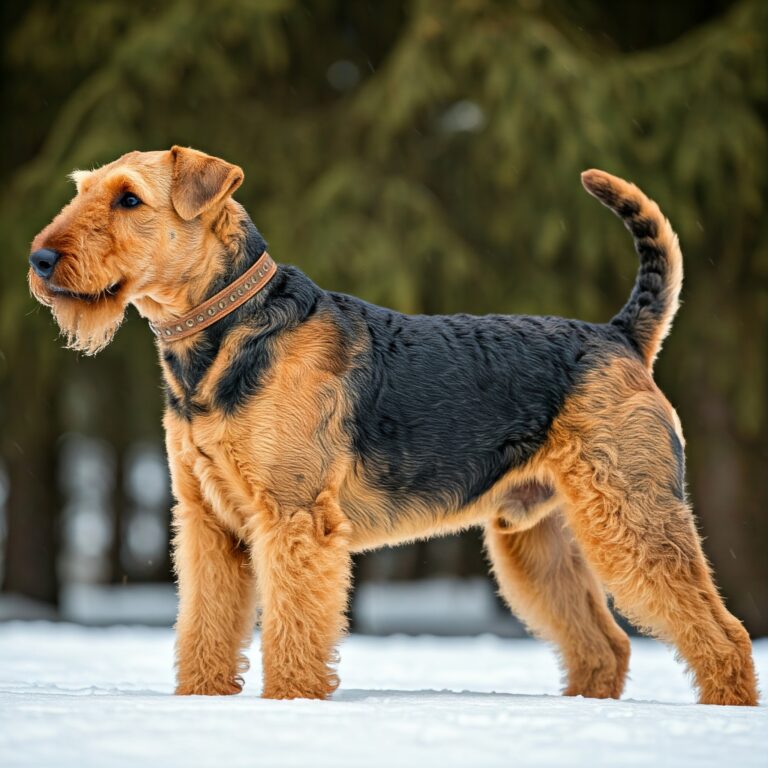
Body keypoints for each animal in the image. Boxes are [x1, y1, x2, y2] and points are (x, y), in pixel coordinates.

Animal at [27, 147, 760, 704]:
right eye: (84, 191)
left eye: (129, 199)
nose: (39, 259)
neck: (225, 333)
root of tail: (620, 335)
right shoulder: (209, 521)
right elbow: (204, 627)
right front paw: (200, 702)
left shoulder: (295, 518)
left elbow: (294, 629)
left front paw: (288, 705)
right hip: (538, 537)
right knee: (604, 644)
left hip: (633, 514)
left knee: (724, 634)